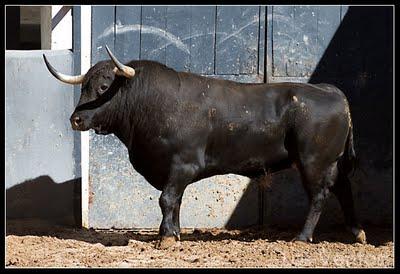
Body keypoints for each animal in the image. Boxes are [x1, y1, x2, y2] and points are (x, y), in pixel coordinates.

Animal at [43, 47, 366, 248]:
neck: (149, 103)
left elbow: (167, 199)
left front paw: (166, 238)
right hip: (330, 162)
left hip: (314, 162)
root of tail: (331, 91)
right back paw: (356, 232)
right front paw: (172, 234)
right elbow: (175, 202)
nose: (76, 119)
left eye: (103, 86)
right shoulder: (174, 172)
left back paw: (302, 237)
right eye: (84, 86)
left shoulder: (182, 166)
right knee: (344, 189)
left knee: (320, 196)